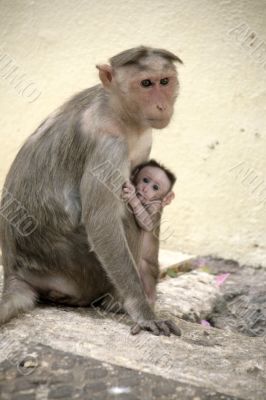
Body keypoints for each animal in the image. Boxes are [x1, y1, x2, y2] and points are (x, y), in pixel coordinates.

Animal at [122, 159, 177, 306]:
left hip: (151, 269)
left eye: (155, 187)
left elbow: (147, 224)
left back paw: (149, 298)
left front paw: (133, 197)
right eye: (145, 180)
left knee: (145, 269)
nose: (145, 189)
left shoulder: (155, 206)